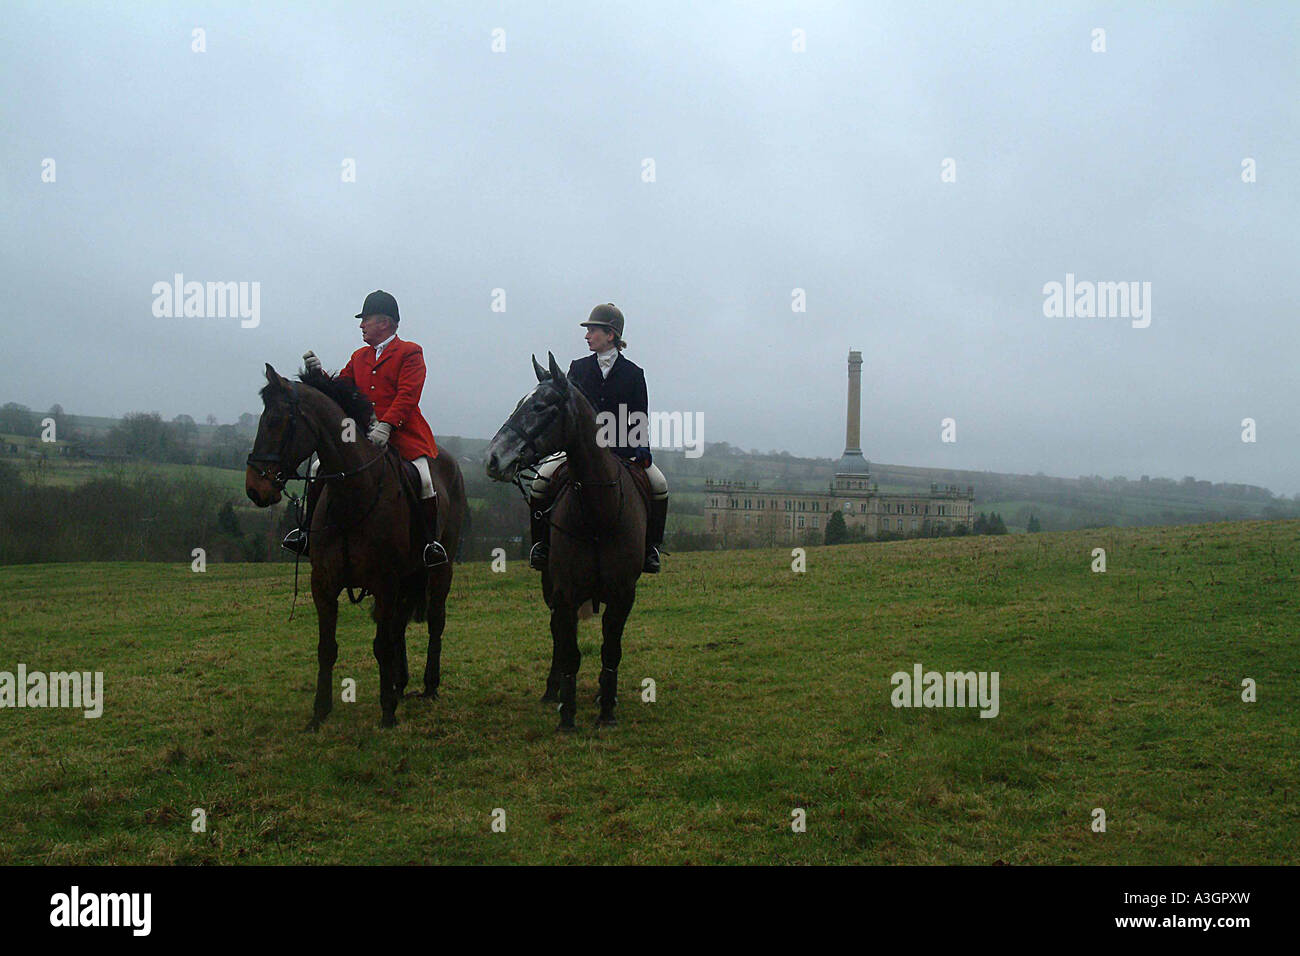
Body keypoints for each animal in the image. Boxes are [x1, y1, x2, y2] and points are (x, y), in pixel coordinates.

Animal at [244, 361, 467, 728]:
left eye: (276, 421)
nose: (254, 489)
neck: (353, 495)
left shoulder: (385, 582)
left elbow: (382, 644)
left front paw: (387, 713)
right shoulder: (323, 583)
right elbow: (327, 647)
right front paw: (319, 714)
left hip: (438, 569)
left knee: (435, 620)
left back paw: (429, 685)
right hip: (408, 577)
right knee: (399, 626)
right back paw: (399, 682)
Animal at [486, 353, 650, 733]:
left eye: (540, 406)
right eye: (519, 403)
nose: (493, 459)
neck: (598, 512)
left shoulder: (623, 593)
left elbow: (611, 650)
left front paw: (607, 710)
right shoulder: (564, 591)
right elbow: (569, 650)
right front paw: (567, 714)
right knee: (557, 637)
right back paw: (553, 690)